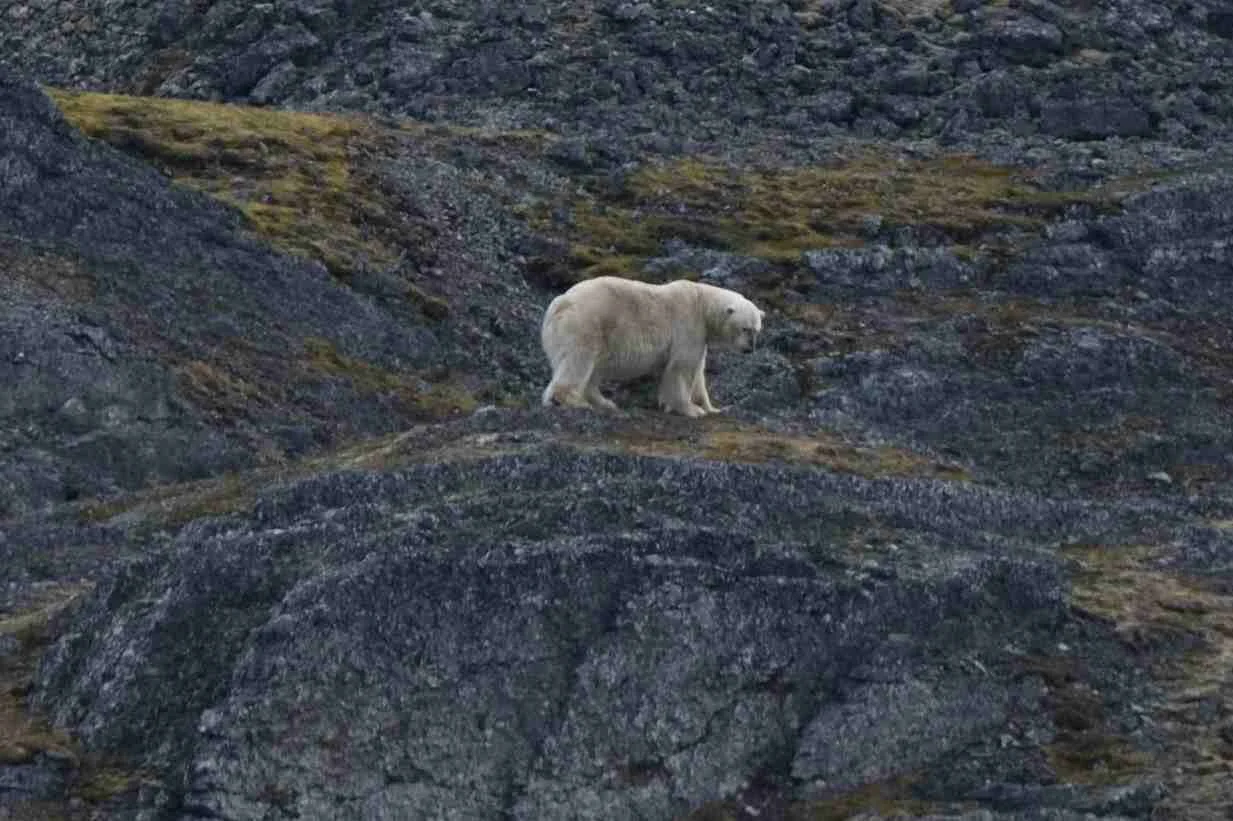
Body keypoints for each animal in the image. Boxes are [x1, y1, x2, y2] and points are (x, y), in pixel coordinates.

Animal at [540, 275, 765, 418]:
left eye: (757, 330)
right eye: (745, 328)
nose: (750, 349)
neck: (702, 303)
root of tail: (558, 304)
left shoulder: (701, 336)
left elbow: (698, 372)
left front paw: (712, 408)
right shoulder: (689, 325)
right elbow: (682, 368)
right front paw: (691, 410)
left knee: (592, 368)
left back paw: (605, 402)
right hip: (586, 323)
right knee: (579, 359)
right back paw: (572, 401)